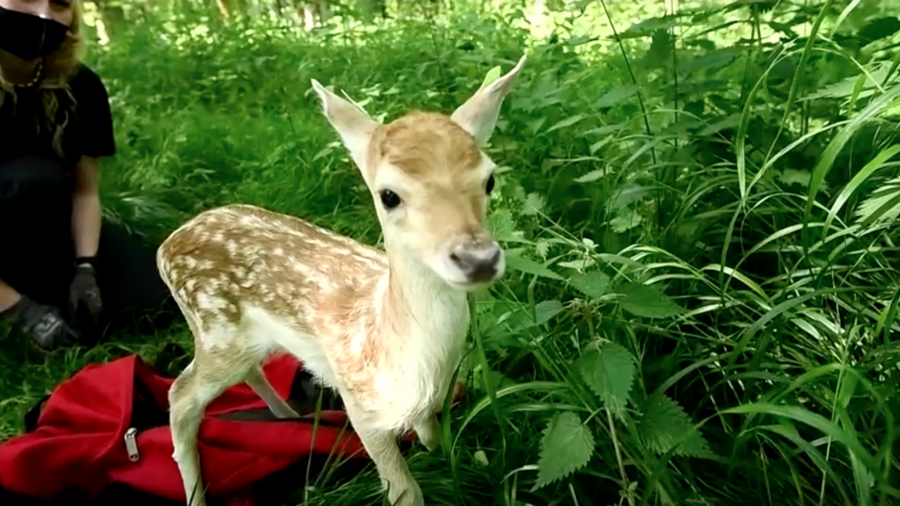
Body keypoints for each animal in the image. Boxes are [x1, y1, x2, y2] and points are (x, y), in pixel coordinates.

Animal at [156, 54, 527, 506]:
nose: (478, 258)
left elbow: (437, 441)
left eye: (490, 178)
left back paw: (288, 419)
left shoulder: (430, 403)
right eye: (389, 195)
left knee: (247, 374)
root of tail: (166, 245)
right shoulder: (361, 406)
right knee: (180, 396)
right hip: (214, 329)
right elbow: (405, 492)